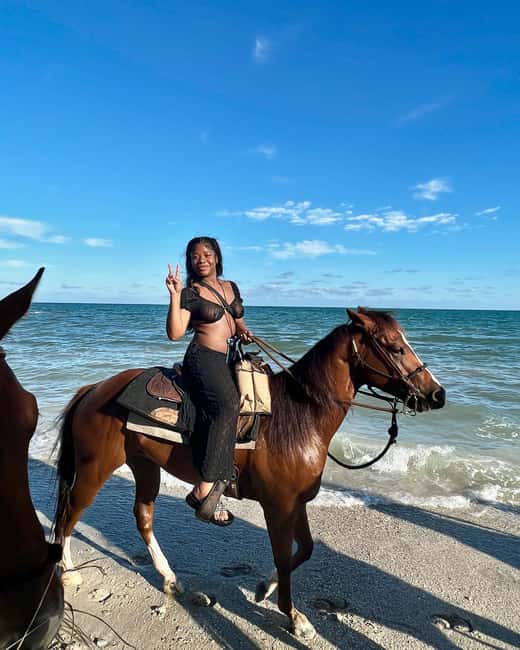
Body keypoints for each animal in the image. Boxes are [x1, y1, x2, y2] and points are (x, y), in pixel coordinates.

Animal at [53, 307, 445, 639]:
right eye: (395, 348)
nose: (437, 394)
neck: (300, 416)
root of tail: (94, 389)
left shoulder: (295, 503)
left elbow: (305, 550)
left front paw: (263, 589)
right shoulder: (278, 506)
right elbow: (285, 557)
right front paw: (294, 617)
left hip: (144, 464)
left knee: (142, 517)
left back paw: (169, 578)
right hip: (94, 469)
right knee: (70, 515)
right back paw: (69, 574)